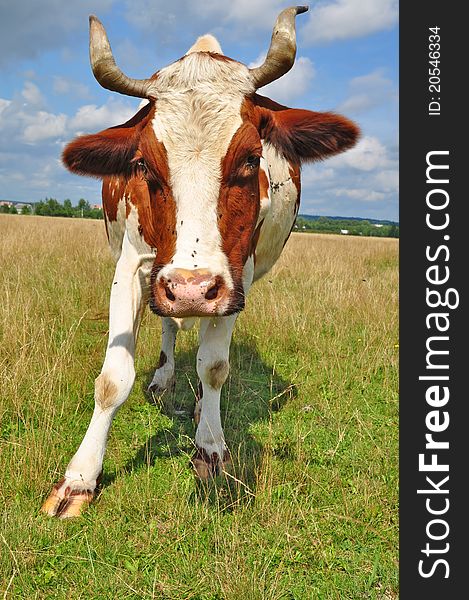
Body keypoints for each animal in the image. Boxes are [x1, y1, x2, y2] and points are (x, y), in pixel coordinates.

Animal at [41, 5, 358, 520]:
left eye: (251, 159)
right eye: (143, 165)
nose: (191, 288)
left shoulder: (236, 277)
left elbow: (214, 366)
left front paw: (209, 445)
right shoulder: (133, 267)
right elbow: (113, 378)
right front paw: (80, 478)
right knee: (170, 325)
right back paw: (165, 377)